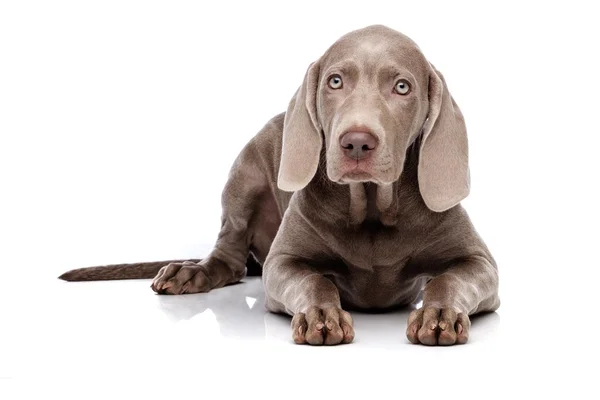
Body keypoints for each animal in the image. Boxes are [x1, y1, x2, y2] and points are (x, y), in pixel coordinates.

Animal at [59, 25, 502, 346]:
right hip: (245, 176)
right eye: (335, 81)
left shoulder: (481, 265)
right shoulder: (282, 263)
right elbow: (312, 279)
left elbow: (450, 278)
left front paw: (439, 313)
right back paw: (191, 271)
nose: (357, 142)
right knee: (230, 259)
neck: (372, 209)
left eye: (403, 87)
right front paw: (321, 314)